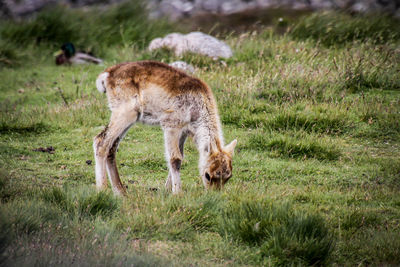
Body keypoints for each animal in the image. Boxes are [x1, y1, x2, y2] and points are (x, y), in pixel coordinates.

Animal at [94, 60, 238, 196]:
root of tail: (107, 74)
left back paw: (120, 191)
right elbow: (175, 159)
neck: (197, 110)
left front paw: (168, 190)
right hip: (126, 113)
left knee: (112, 147)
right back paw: (102, 188)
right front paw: (177, 192)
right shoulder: (171, 125)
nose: (214, 195)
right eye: (208, 175)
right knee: (100, 141)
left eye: (228, 177)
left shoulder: (184, 132)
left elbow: (180, 156)